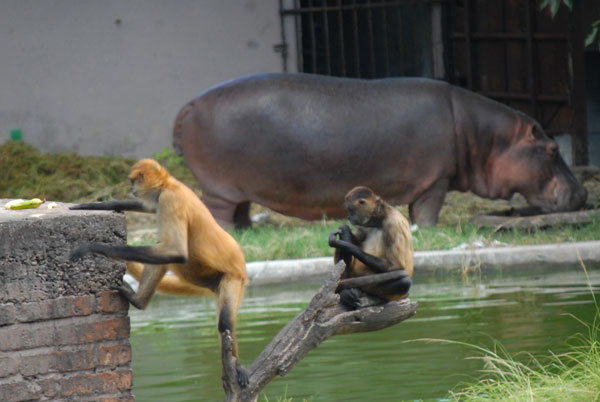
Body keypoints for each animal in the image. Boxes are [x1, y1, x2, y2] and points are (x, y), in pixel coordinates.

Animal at [70, 159, 248, 388]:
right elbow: (148, 207)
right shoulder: (160, 199)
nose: (131, 189)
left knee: (224, 322)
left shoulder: (169, 200)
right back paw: (138, 300)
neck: (169, 184)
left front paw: (94, 247)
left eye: (132, 181)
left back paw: (237, 366)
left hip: (232, 278)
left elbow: (176, 251)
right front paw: (93, 205)